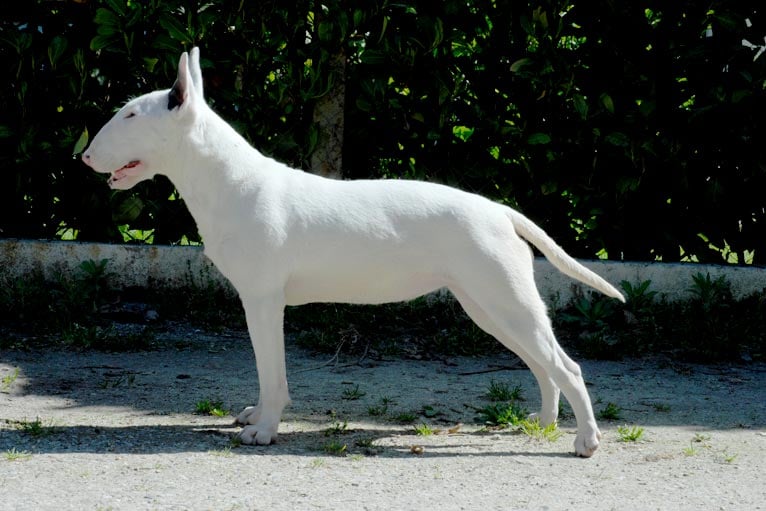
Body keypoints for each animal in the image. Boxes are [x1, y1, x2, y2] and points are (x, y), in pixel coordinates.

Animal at [82, 48, 624, 457]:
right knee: (542, 364)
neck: (227, 181)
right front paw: (257, 415)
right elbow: (264, 370)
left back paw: (585, 441)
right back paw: (544, 422)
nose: (84, 156)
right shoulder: (260, 302)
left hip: (504, 299)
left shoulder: (262, 300)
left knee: (565, 366)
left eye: (131, 114)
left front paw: (264, 429)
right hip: (489, 306)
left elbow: (271, 370)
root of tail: (499, 210)